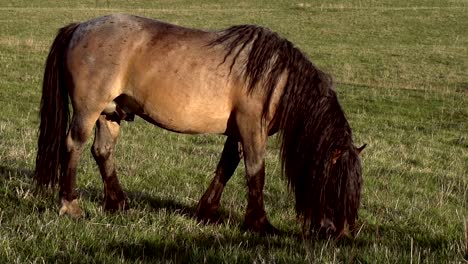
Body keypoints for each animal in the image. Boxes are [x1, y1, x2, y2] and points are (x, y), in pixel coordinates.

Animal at [35, 13, 366, 237]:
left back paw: (118, 203)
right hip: (88, 110)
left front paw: (206, 212)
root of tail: (80, 26)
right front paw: (259, 223)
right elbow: (255, 172)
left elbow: (226, 167)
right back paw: (71, 206)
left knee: (102, 152)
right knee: (74, 146)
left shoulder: (236, 132)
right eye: (335, 186)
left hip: (111, 113)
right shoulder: (251, 128)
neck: (275, 77)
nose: (338, 234)